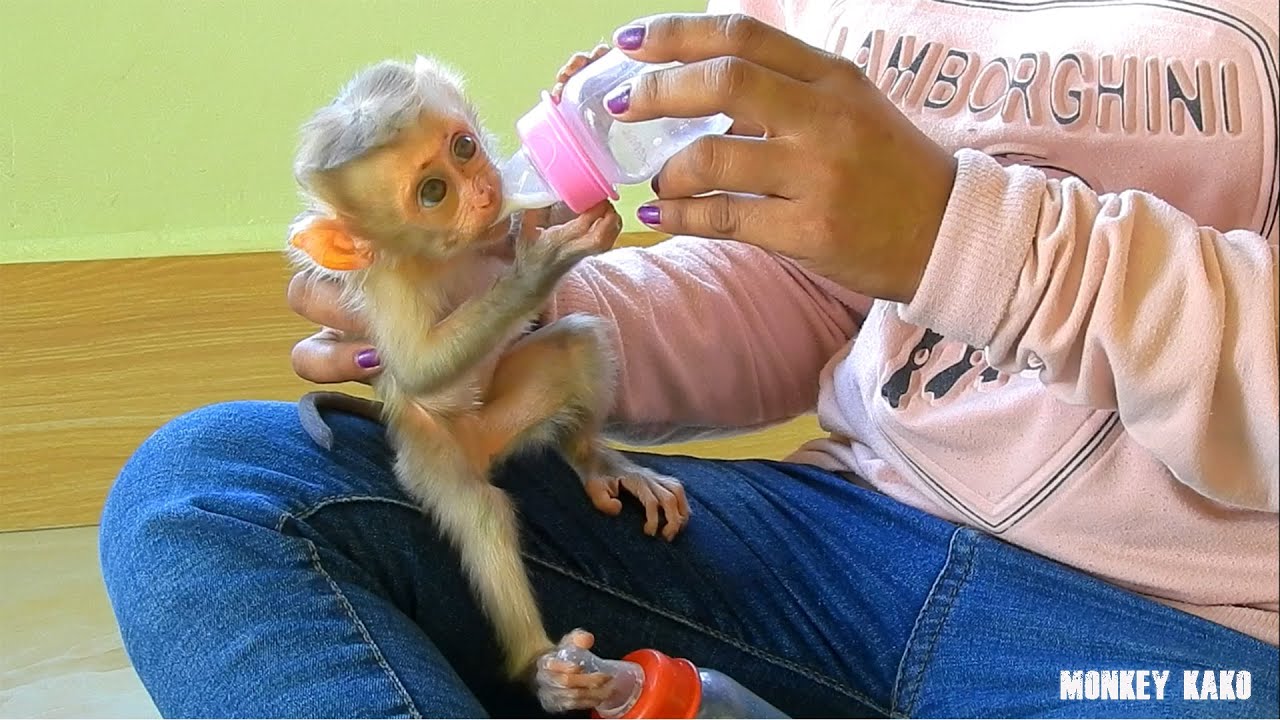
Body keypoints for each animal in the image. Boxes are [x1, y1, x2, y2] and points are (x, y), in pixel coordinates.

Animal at [283, 54, 689, 706]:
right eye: (433, 192)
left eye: (464, 147)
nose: (483, 189)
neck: (445, 252)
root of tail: (484, 445)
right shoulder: (389, 289)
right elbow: (417, 369)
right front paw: (541, 260)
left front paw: (574, 87)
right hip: (430, 451)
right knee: (479, 512)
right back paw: (541, 667)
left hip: (507, 416)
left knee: (577, 342)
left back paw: (597, 462)